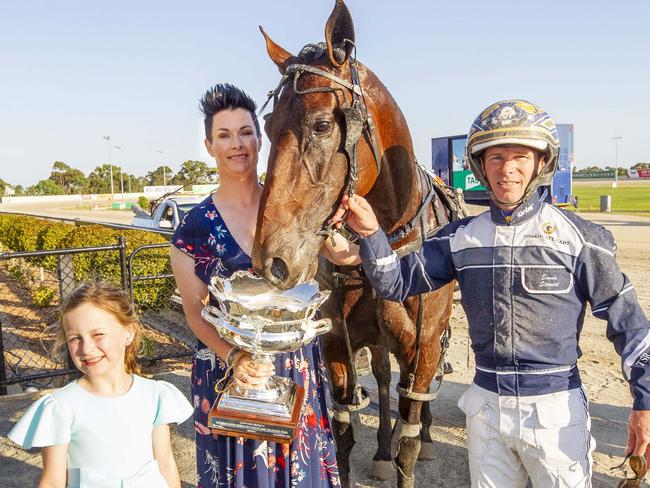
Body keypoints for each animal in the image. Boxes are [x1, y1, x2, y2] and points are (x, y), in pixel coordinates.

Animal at [251, 1, 458, 486]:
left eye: (323, 124)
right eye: (267, 124)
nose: (272, 260)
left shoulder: (421, 345)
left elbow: (410, 435)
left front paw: (412, 444)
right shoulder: (336, 343)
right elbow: (343, 431)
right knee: (381, 376)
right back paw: (381, 445)